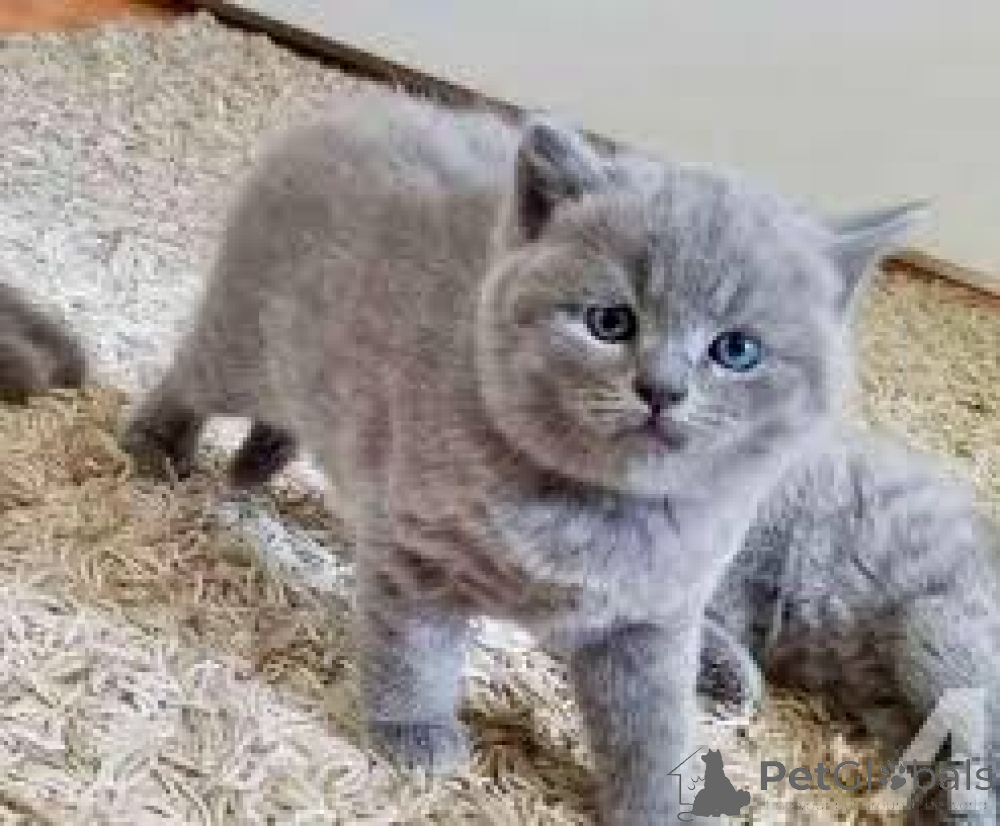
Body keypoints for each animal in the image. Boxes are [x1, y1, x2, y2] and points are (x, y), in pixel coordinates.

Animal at [119, 93, 921, 824]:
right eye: (610, 322)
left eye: (737, 350)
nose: (662, 389)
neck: (597, 510)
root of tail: (346, 110)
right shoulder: (419, 551)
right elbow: (414, 649)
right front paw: (413, 731)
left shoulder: (651, 621)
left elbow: (653, 725)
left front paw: (661, 803)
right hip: (245, 342)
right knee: (191, 375)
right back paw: (154, 446)